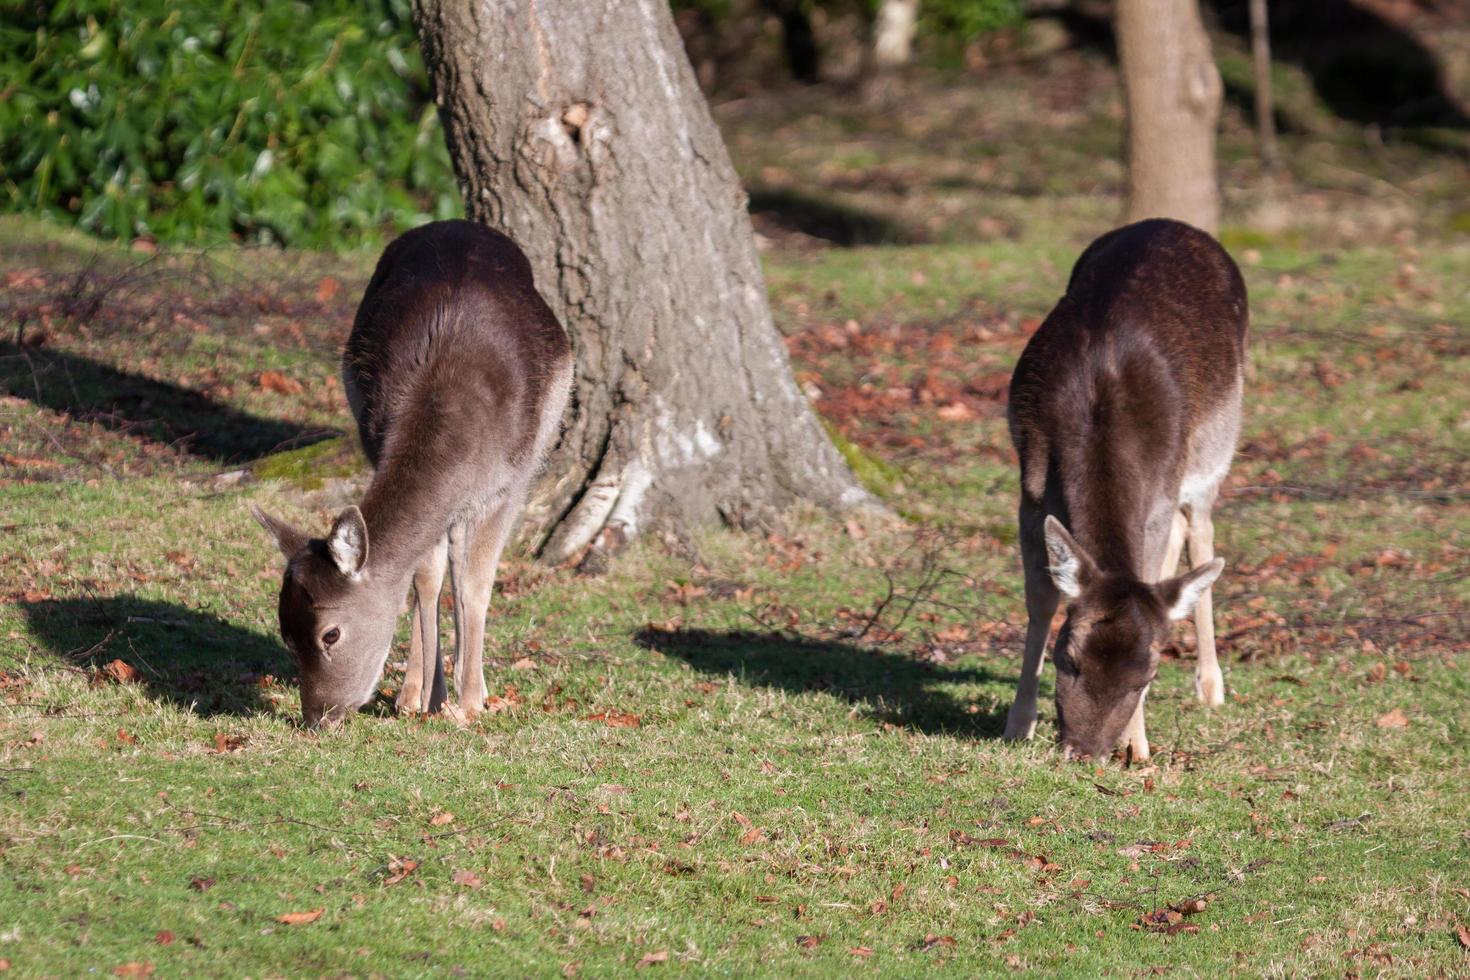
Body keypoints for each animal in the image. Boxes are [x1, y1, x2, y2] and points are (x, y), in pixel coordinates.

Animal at [252, 221, 573, 728]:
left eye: (330, 634)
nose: (318, 717)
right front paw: (419, 698)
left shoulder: (508, 486)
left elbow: (474, 585)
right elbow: (424, 578)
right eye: (286, 634)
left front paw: (468, 704)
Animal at [993, 220, 1246, 764]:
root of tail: (1174, 224)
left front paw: (1137, 745)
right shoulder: (1030, 483)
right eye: (1068, 659)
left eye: (1147, 675)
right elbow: (1041, 596)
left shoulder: (1163, 486)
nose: (1086, 752)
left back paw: (1210, 686)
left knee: (1200, 531)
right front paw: (1017, 724)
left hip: (1214, 450)